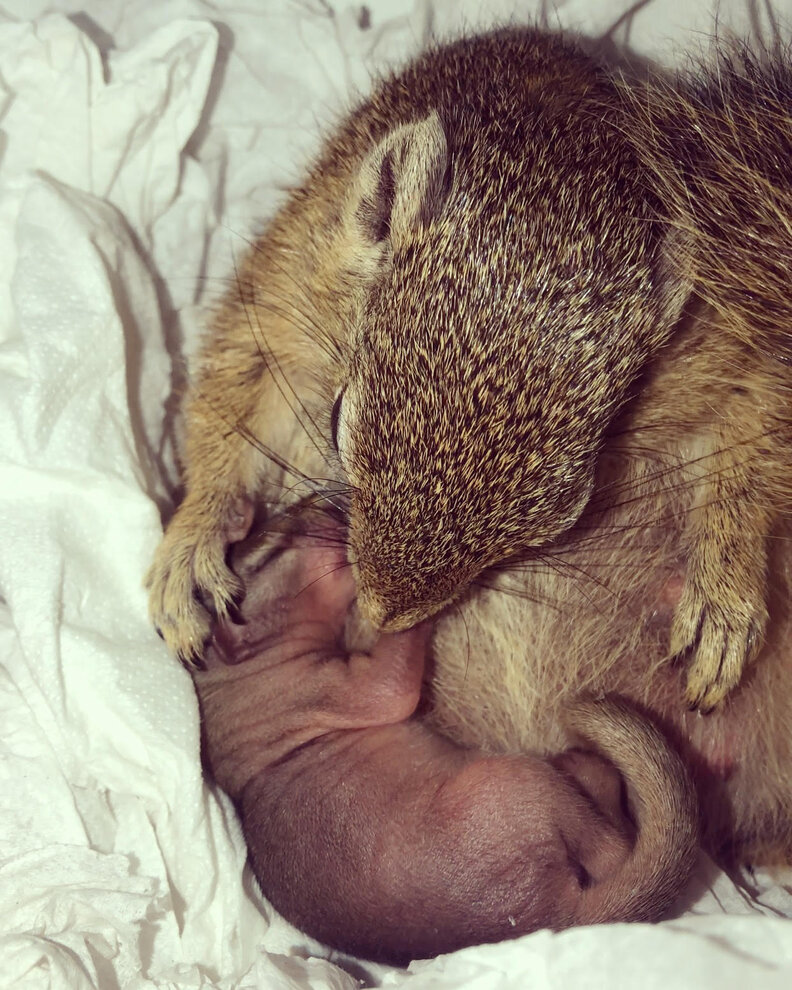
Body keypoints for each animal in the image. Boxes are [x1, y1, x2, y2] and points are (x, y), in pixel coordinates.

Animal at [146, 29, 792, 860]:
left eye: (568, 512)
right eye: (338, 417)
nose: (384, 612)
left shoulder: (728, 331)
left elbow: (758, 435)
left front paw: (725, 594)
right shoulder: (290, 282)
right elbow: (228, 404)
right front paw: (193, 548)